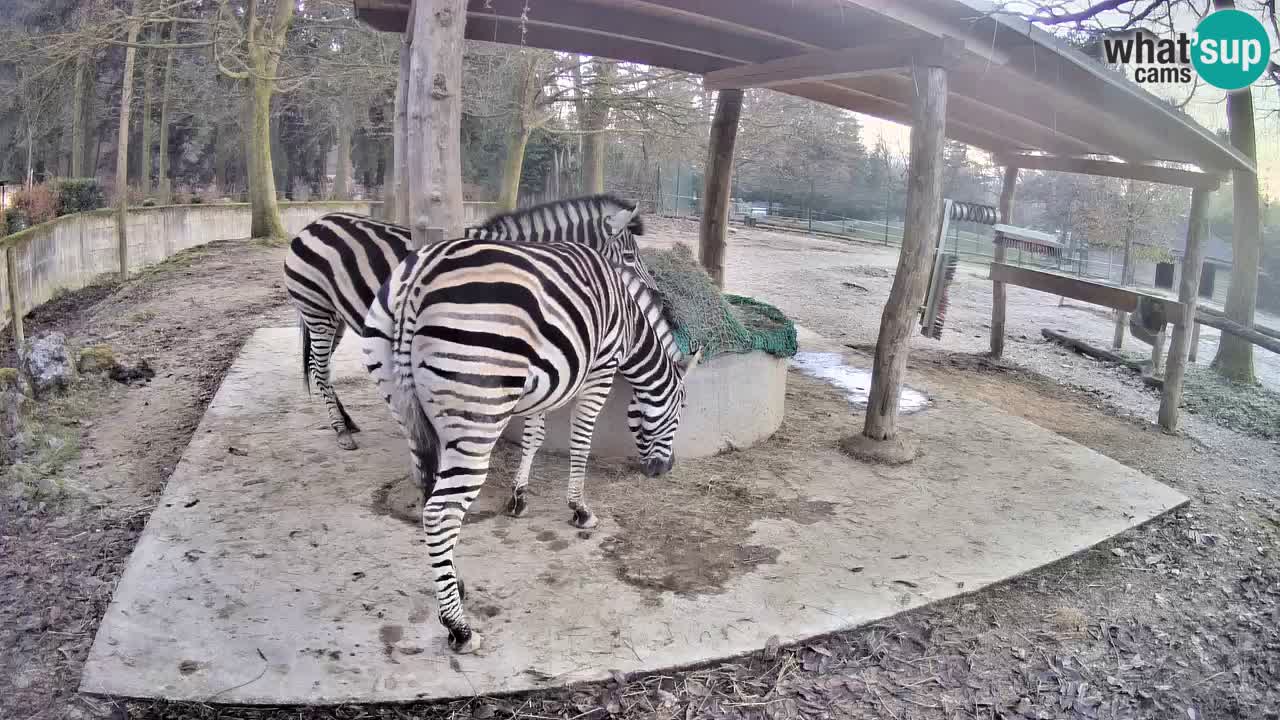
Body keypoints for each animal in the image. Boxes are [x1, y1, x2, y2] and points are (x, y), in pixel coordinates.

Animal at [282, 194, 655, 451]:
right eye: (628, 256)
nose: (654, 291)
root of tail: (315, 223)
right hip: (317, 310)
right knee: (319, 368)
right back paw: (341, 431)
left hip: (336, 316)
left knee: (319, 366)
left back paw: (346, 421)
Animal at [361, 237, 700, 654]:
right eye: (681, 409)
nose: (664, 470)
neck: (629, 323)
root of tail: (419, 278)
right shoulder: (600, 368)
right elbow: (581, 438)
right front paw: (580, 509)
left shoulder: (548, 381)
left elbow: (533, 437)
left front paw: (519, 497)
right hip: (477, 415)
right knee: (440, 513)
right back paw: (459, 628)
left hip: (405, 407)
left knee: (429, 495)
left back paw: (456, 584)